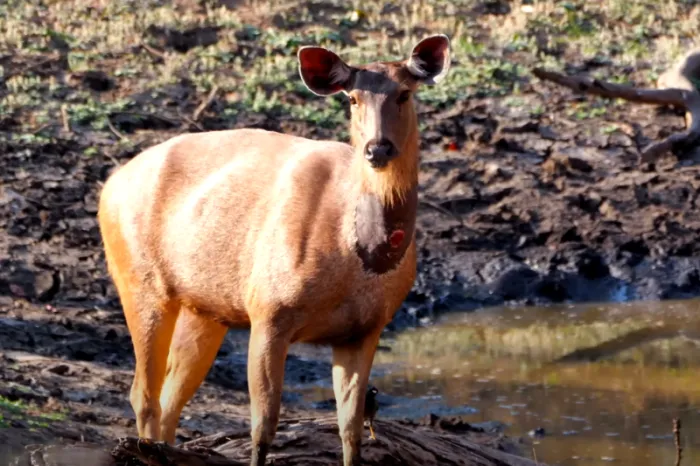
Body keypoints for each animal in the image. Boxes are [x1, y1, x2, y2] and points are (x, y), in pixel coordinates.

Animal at [97, 34, 451, 466]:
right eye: (352, 98)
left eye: (405, 93)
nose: (377, 149)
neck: (358, 255)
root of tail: (108, 186)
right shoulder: (269, 309)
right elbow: (263, 427)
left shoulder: (366, 328)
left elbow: (351, 431)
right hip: (139, 279)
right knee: (143, 395)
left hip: (205, 308)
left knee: (169, 398)